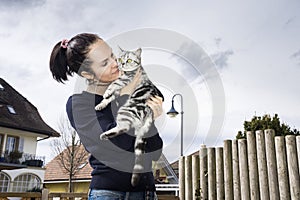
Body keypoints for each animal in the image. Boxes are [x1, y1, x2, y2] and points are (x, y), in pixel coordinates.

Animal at [95, 47, 164, 186]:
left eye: (129, 60)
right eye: (120, 58)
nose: (122, 64)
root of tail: (150, 113)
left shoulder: (126, 78)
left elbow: (114, 83)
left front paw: (106, 92)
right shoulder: (117, 92)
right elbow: (109, 98)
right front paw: (101, 104)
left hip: (126, 109)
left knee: (124, 128)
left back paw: (105, 135)